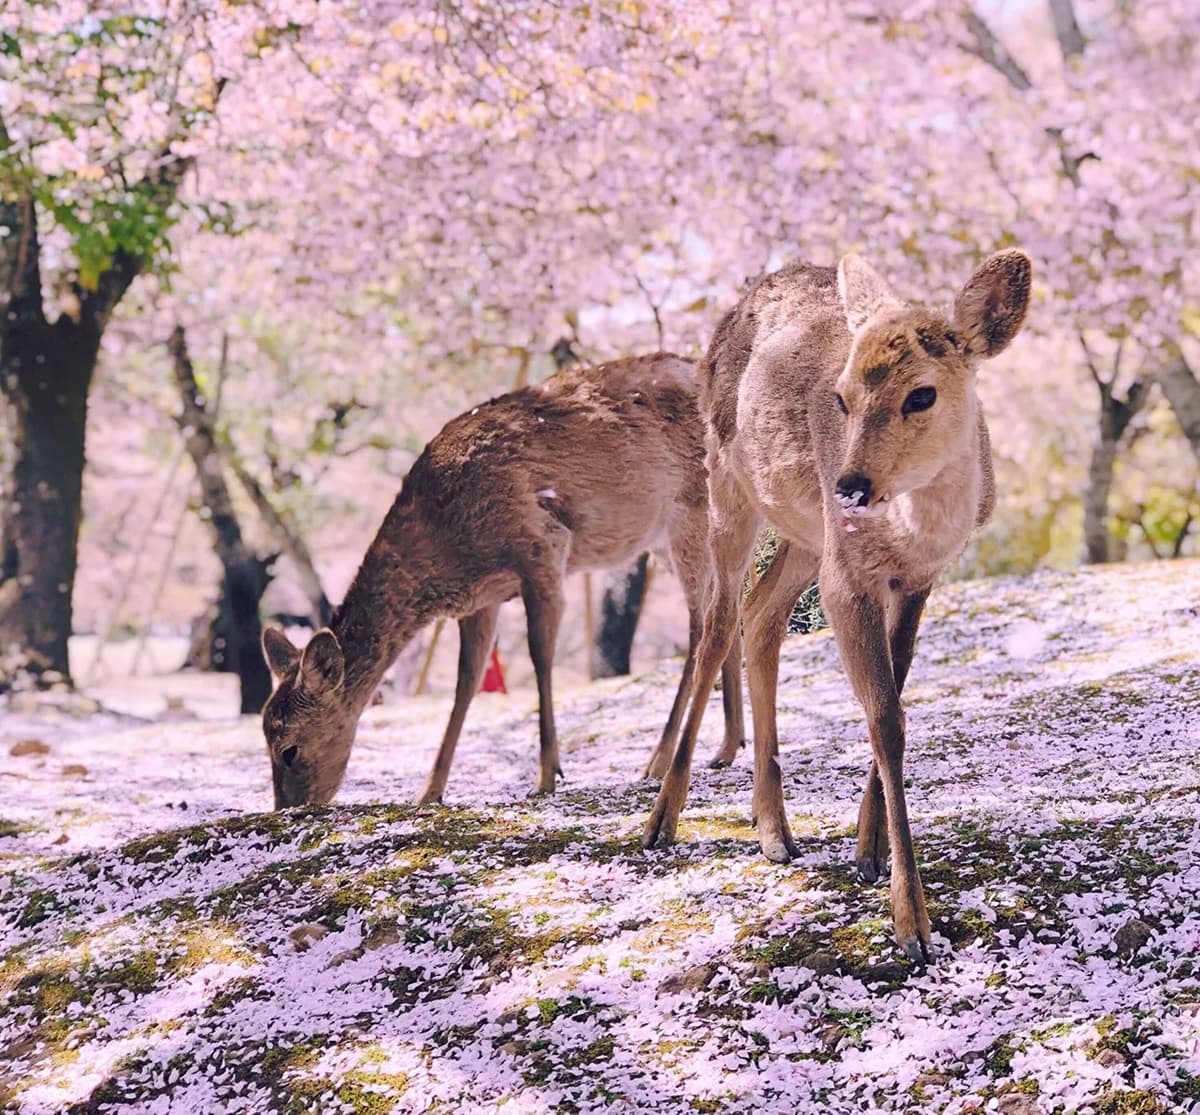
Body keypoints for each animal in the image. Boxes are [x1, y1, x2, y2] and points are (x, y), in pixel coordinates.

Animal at [259, 353, 747, 810]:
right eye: (264, 736)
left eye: (289, 749)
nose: (289, 808)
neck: (447, 544)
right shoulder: (481, 599)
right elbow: (466, 681)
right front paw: (429, 790)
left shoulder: (542, 544)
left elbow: (539, 655)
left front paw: (547, 775)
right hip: (671, 538)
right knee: (727, 607)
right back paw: (727, 745)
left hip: (690, 514)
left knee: (701, 623)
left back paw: (658, 759)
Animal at [642, 249, 1032, 962]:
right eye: (842, 397)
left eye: (922, 393)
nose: (852, 485)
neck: (914, 534)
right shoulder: (848, 578)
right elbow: (885, 717)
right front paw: (913, 925)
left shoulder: (916, 580)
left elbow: (894, 701)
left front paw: (867, 849)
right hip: (728, 488)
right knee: (717, 624)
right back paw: (663, 819)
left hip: (804, 534)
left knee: (760, 615)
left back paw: (773, 829)